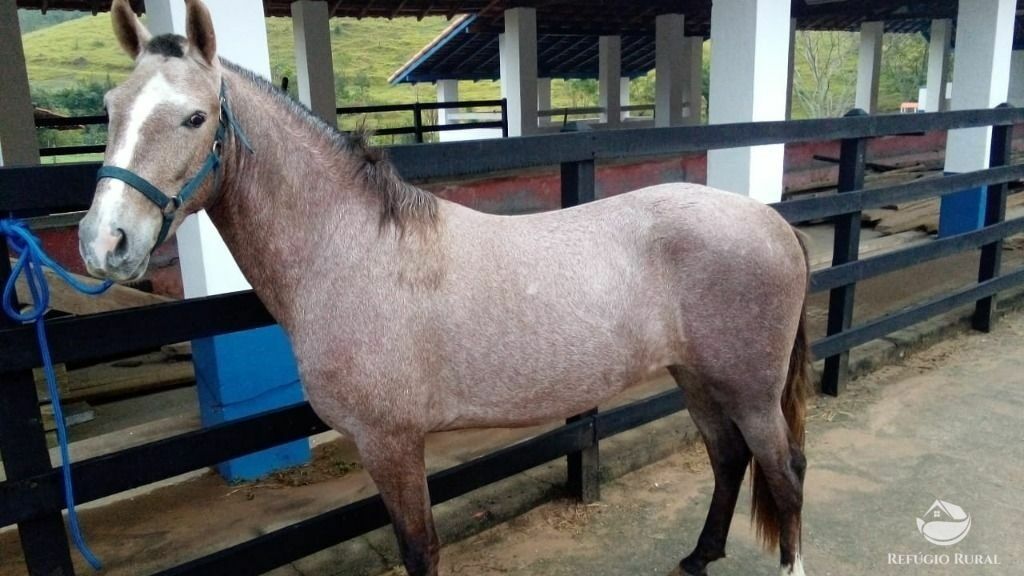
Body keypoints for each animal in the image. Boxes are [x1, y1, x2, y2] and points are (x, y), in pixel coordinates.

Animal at [75, 2, 811, 569]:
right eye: (110, 109)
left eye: (195, 118)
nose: (105, 242)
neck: (353, 251)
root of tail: (771, 221)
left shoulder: (391, 443)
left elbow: (419, 548)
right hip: (698, 375)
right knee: (728, 460)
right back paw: (698, 557)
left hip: (749, 389)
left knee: (785, 474)